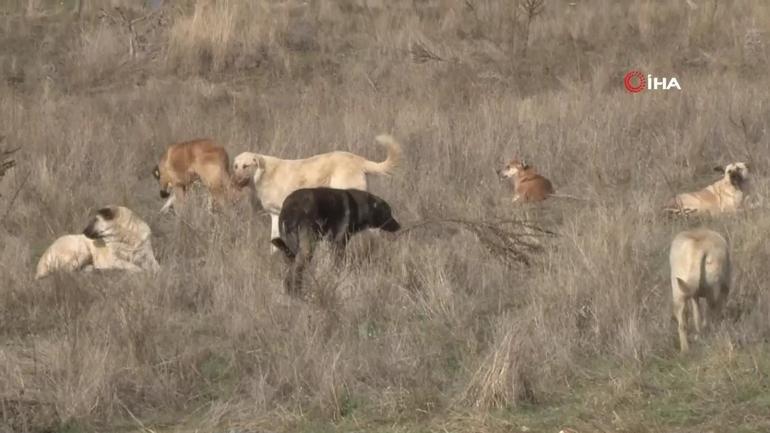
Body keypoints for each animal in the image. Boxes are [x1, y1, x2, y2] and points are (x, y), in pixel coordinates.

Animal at [231, 133, 402, 251]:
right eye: (235, 166)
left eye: (246, 166)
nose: (234, 182)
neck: (262, 174)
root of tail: (359, 159)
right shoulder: (275, 215)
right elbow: (274, 241)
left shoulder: (283, 215)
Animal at [270, 186, 400, 294]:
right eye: (388, 213)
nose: (399, 226)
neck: (358, 206)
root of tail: (289, 210)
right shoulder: (339, 243)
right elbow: (338, 264)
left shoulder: (331, 243)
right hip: (306, 249)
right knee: (297, 270)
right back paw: (297, 292)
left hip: (289, 251)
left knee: (289, 271)